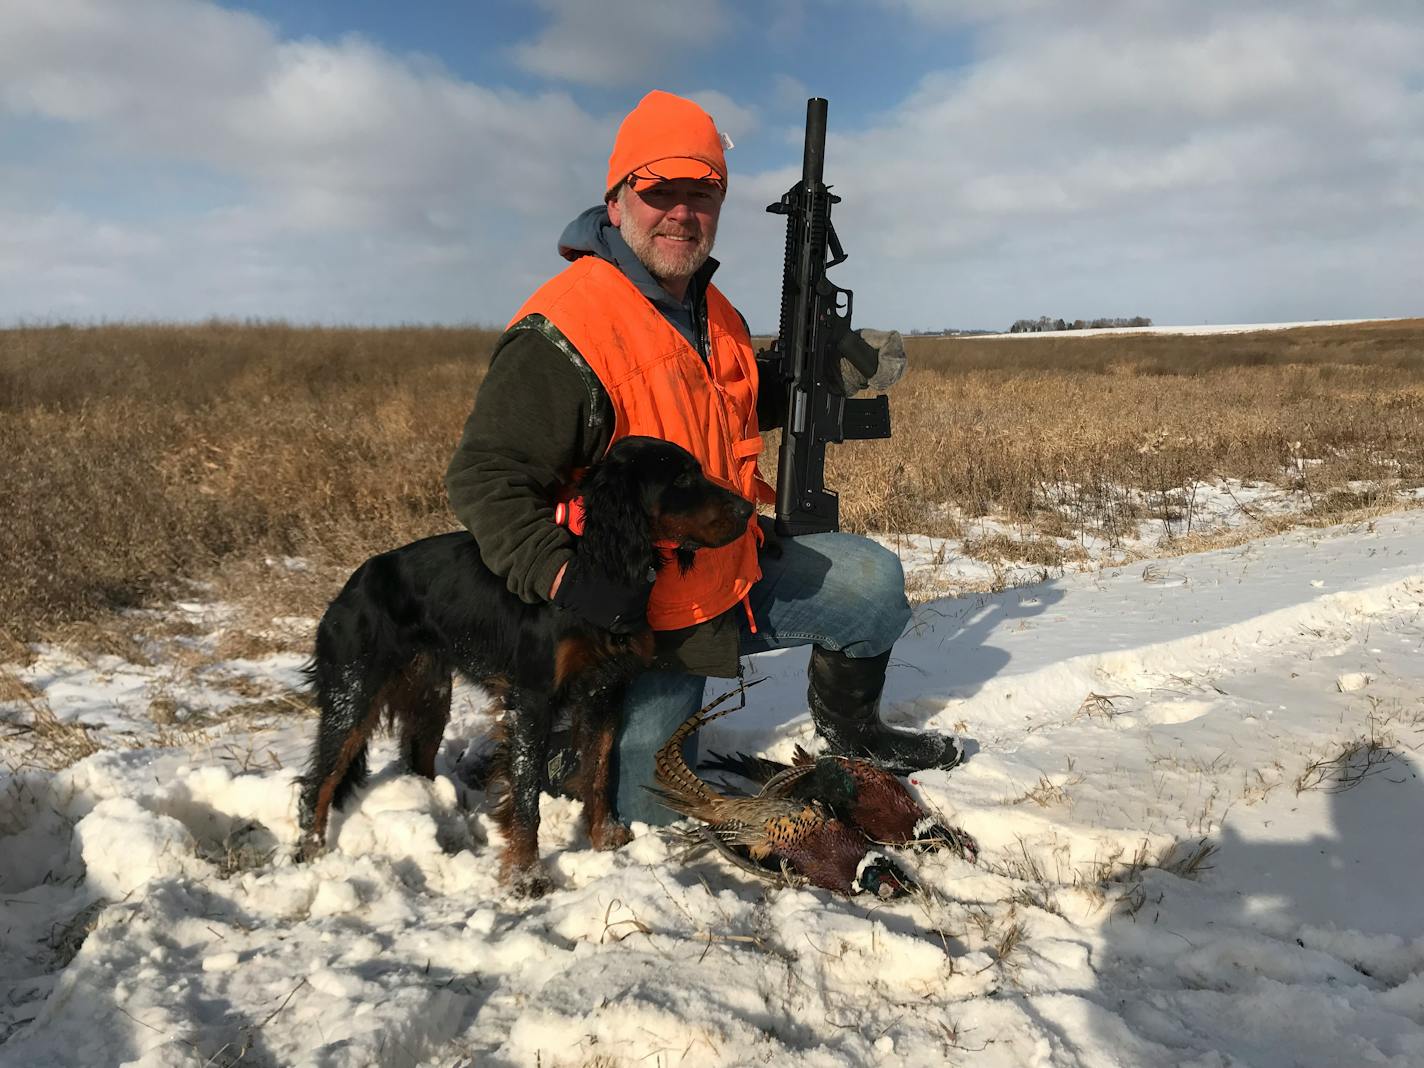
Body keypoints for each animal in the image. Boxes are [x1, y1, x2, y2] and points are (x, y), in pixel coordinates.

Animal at [291, 435, 757, 894]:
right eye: (681, 478)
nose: (748, 510)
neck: (597, 566)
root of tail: (351, 587)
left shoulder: (604, 690)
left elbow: (600, 770)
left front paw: (604, 837)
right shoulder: (533, 699)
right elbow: (527, 793)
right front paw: (525, 874)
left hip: (431, 694)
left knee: (415, 756)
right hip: (353, 693)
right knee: (320, 780)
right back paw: (309, 852)